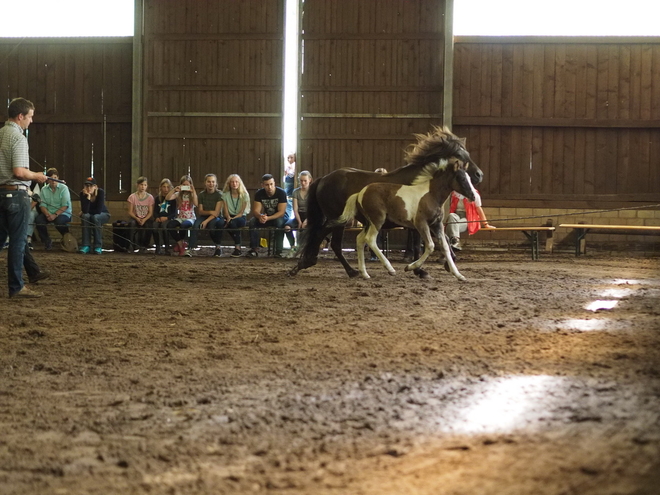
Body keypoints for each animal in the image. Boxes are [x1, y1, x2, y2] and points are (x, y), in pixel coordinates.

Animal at [336, 160, 474, 280]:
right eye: (462, 178)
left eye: (469, 178)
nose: (472, 196)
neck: (431, 195)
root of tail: (360, 193)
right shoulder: (421, 223)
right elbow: (430, 246)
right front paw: (410, 267)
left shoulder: (437, 224)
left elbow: (445, 246)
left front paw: (459, 275)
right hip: (377, 220)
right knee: (370, 239)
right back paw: (390, 269)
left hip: (368, 222)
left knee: (360, 239)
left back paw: (364, 273)